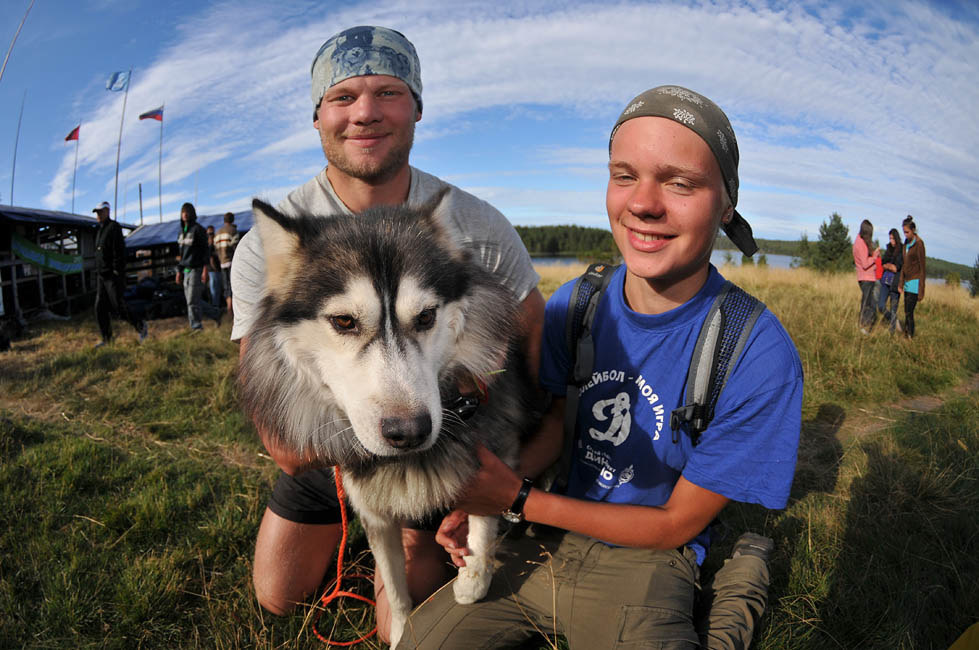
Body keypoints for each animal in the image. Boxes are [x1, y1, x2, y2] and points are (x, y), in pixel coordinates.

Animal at [240, 190, 540, 644]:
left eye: (426, 317)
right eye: (344, 321)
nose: (410, 432)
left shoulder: (495, 443)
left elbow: (486, 512)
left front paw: (474, 577)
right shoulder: (373, 512)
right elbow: (395, 588)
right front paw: (401, 631)